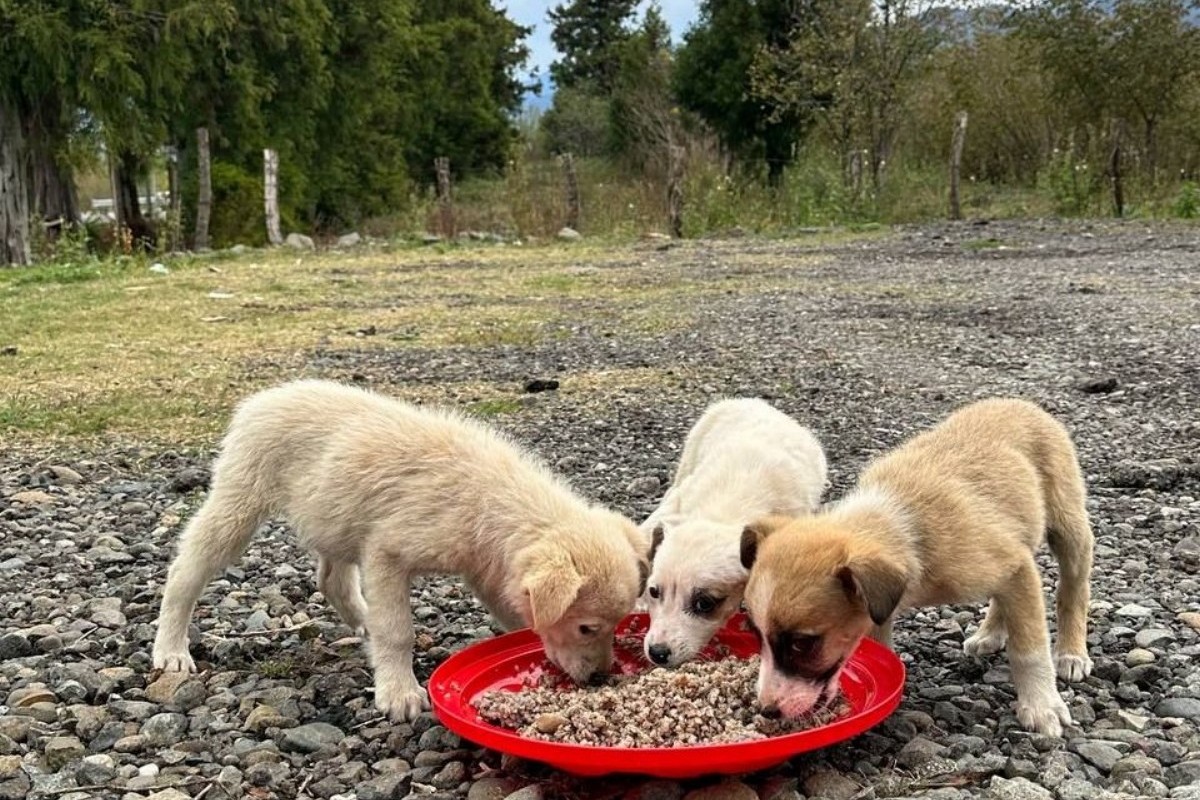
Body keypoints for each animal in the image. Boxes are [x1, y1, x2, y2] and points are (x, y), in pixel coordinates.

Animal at [157, 379, 657, 724]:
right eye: (587, 627)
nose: (600, 678)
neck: (490, 500)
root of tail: (263, 398)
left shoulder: (486, 569)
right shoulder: (388, 553)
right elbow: (398, 630)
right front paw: (399, 693)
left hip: (336, 518)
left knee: (331, 579)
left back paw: (362, 623)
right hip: (239, 502)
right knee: (186, 569)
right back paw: (171, 649)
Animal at [734, 398, 1094, 738]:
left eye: (802, 643)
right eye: (755, 633)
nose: (767, 711)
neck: (902, 525)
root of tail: (1018, 403)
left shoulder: (1015, 567)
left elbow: (1029, 650)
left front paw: (1042, 706)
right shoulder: (880, 610)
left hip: (1068, 529)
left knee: (1072, 590)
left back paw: (1071, 653)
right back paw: (989, 633)